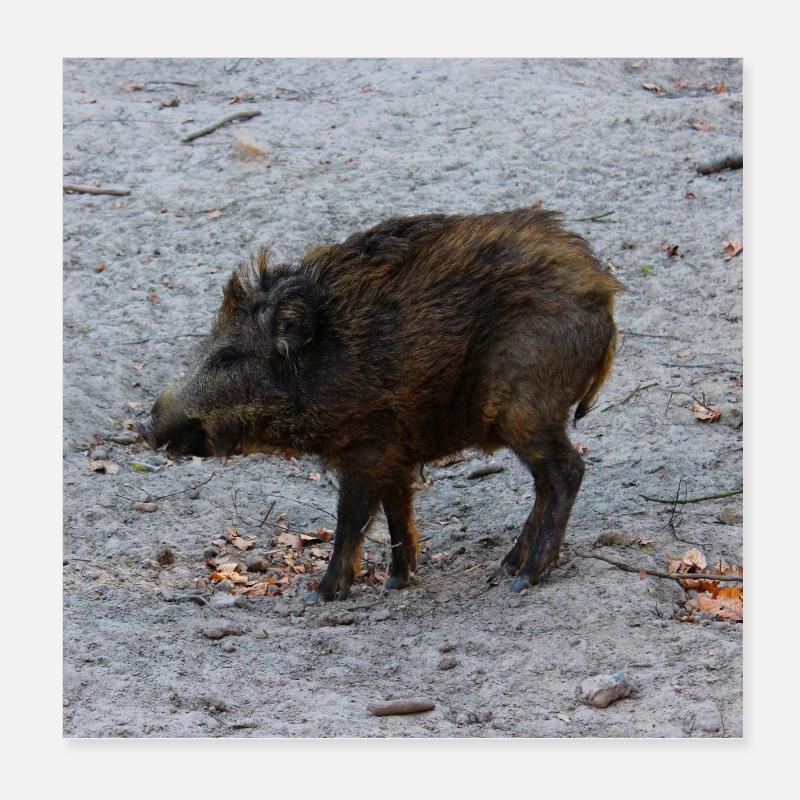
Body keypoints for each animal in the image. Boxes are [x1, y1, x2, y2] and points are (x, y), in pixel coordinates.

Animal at [138, 209, 620, 601]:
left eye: (228, 357)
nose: (147, 426)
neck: (319, 367)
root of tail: (604, 298)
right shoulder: (395, 454)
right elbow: (397, 511)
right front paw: (397, 580)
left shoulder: (367, 448)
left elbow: (351, 520)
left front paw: (320, 596)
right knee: (546, 483)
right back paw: (505, 569)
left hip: (526, 410)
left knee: (567, 472)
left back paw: (527, 578)